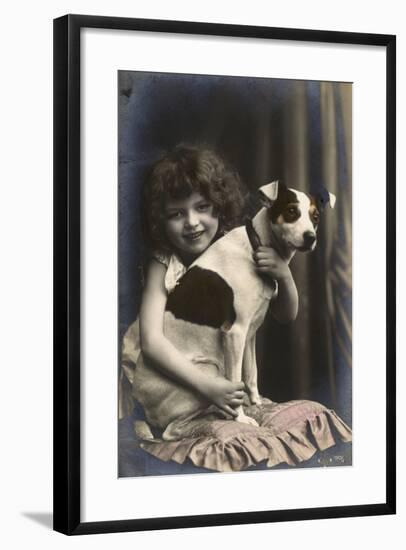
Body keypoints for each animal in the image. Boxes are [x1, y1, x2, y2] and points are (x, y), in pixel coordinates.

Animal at [132, 181, 334, 440]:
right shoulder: (234, 333)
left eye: (315, 217)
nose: (311, 238)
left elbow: (251, 374)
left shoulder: (250, 334)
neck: (256, 244)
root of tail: (139, 405)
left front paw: (257, 403)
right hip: (208, 371)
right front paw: (240, 418)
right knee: (169, 431)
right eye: (291, 211)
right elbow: (235, 381)